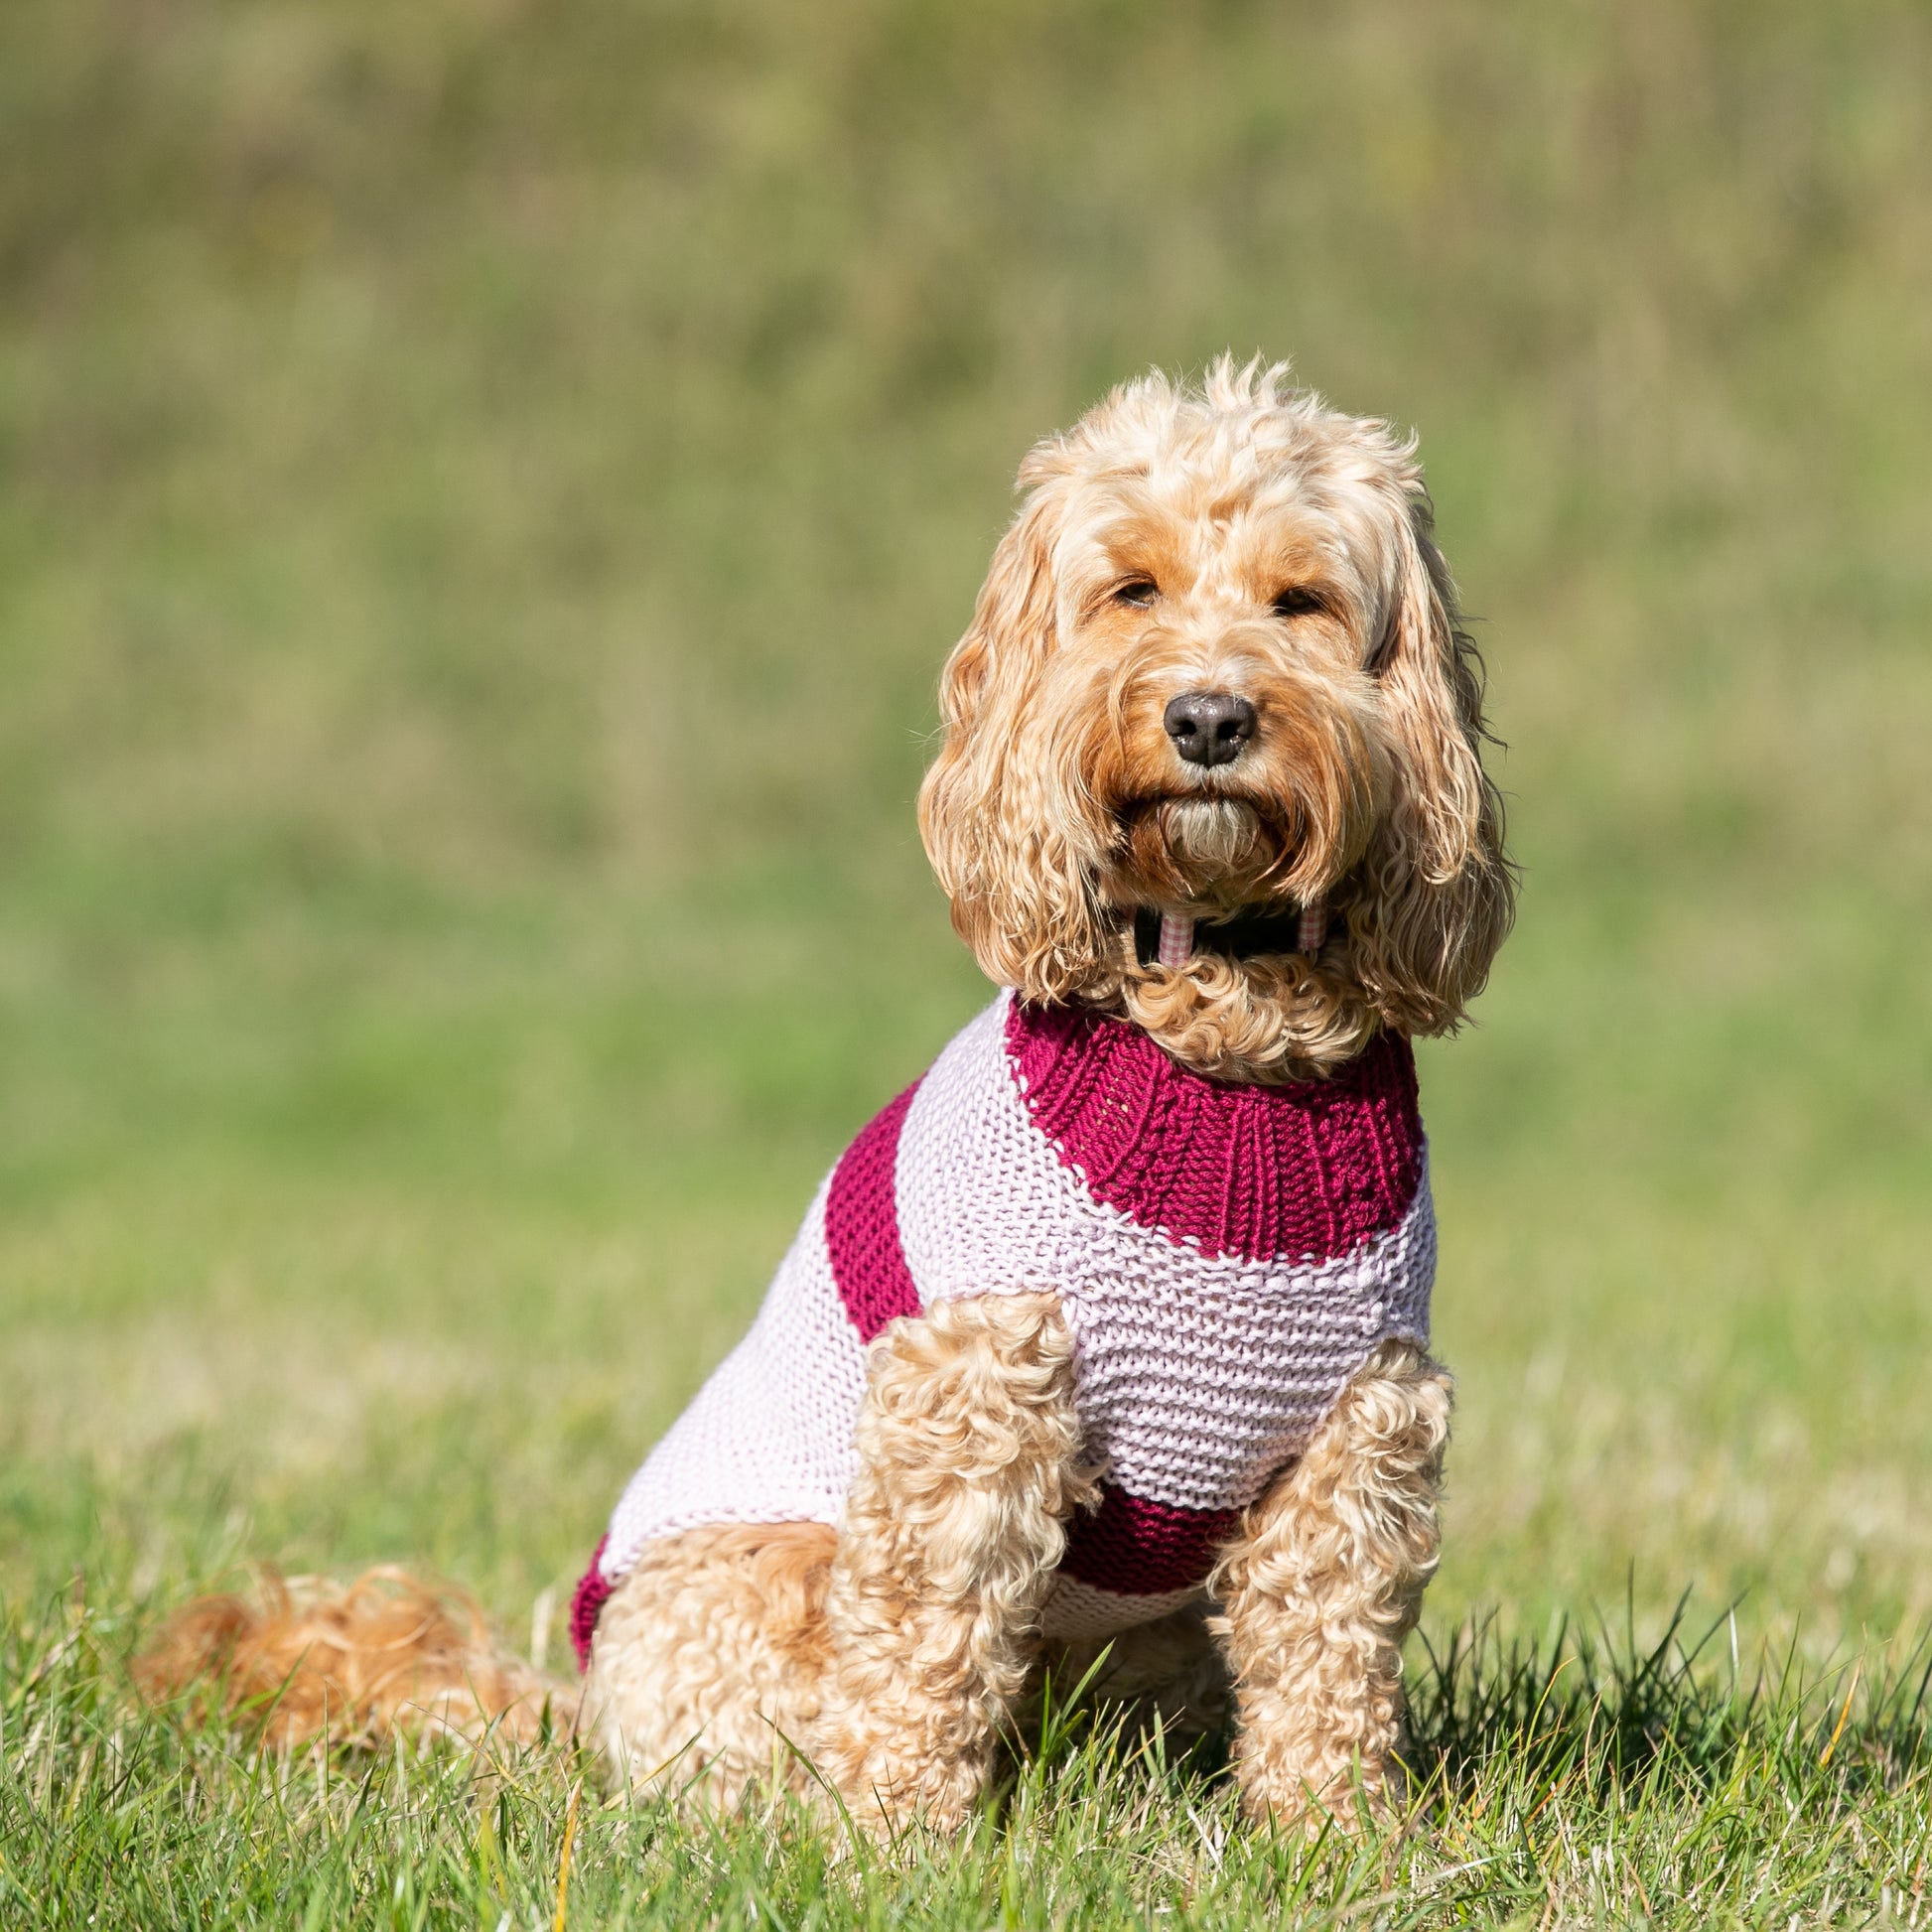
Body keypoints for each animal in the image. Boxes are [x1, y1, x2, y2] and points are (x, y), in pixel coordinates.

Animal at [143, 358, 1514, 1839]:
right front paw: (898, 1838)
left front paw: (1340, 1834)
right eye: (1129, 591)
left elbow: (1329, 1654)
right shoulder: (976, 1394)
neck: (1217, 1036)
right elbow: (927, 1640)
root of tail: (577, 1709)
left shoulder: (1359, 1429)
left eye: (1298, 601)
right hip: (763, 1586)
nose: (1208, 717)